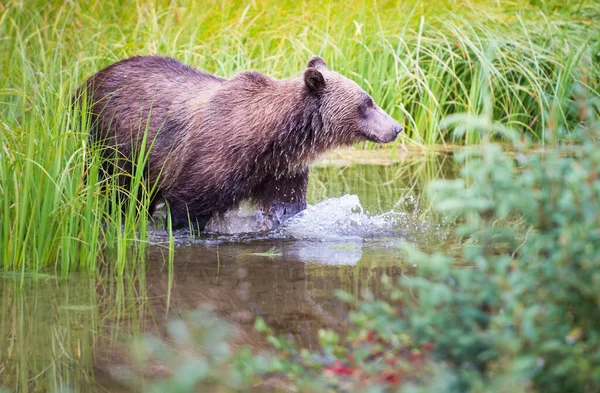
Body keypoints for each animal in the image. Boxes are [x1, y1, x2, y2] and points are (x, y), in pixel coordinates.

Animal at [77, 56, 400, 231]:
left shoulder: (281, 169)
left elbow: (287, 207)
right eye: (367, 103)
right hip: (107, 141)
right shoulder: (212, 158)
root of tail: (85, 82)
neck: (272, 138)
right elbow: (186, 208)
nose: (396, 127)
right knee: (113, 190)